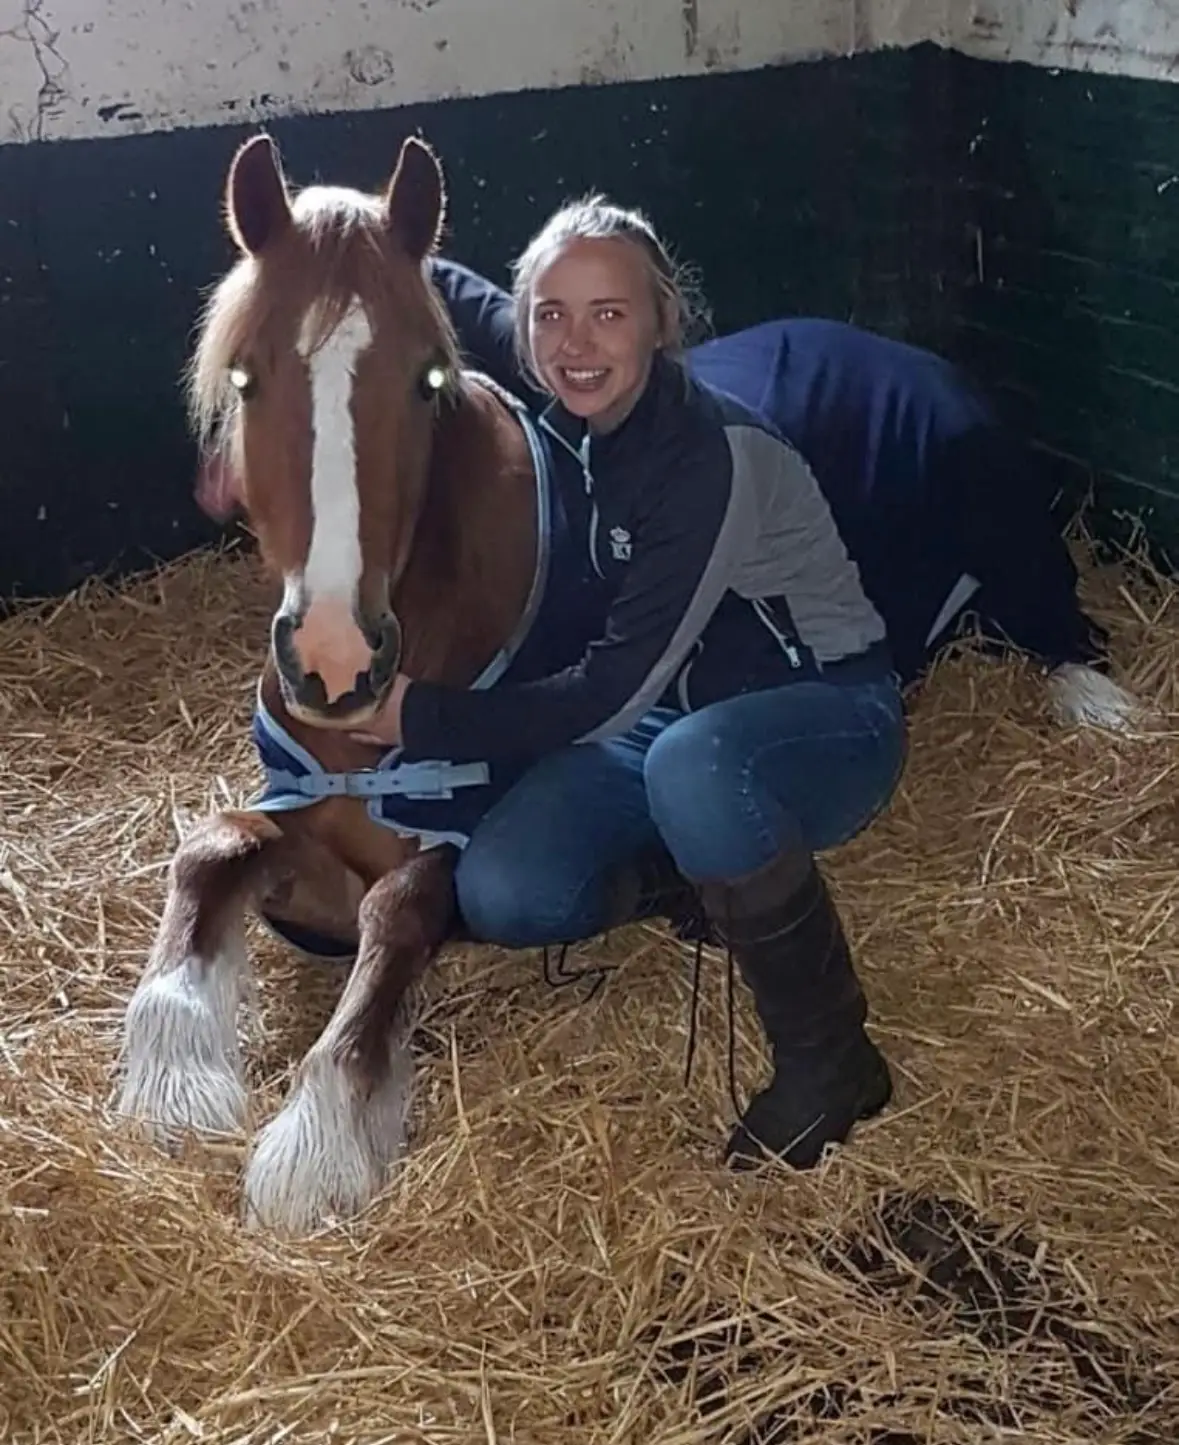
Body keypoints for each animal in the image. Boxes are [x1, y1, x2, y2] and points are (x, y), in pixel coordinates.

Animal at [113, 132, 555, 1236]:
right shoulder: (303, 844)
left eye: (427, 379)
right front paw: (175, 1078)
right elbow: (209, 850)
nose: (336, 659)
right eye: (245, 377)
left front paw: (321, 1138)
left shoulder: (445, 849)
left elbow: (395, 914)